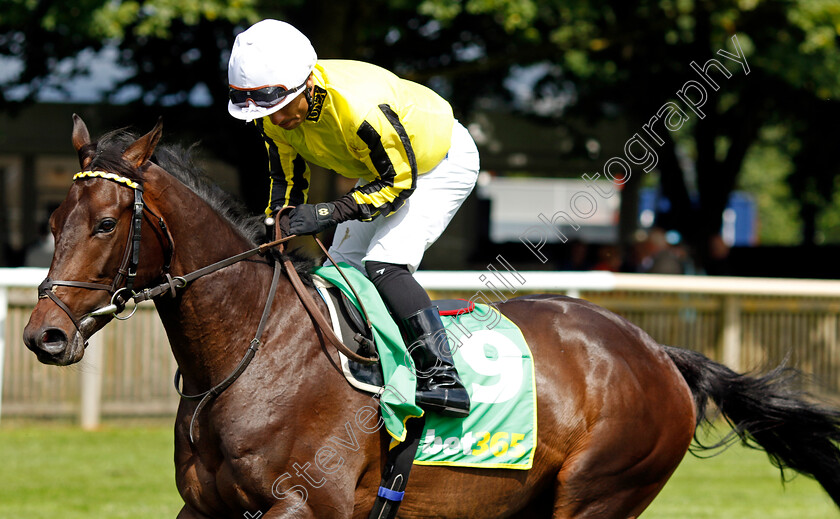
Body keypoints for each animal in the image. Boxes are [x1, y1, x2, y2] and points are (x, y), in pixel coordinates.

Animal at [21, 116, 840, 516]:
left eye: (105, 224)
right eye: (54, 216)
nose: (43, 335)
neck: (249, 356)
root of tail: (658, 351)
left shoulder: (306, 507)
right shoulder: (205, 511)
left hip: (599, 495)